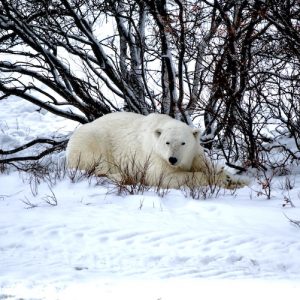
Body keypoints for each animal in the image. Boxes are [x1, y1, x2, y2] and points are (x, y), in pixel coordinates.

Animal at [67, 111, 247, 189]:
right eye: (167, 143)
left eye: (183, 143)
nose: (173, 159)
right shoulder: (154, 157)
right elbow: (164, 177)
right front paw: (219, 180)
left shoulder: (195, 153)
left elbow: (207, 165)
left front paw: (234, 179)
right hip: (92, 141)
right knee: (98, 165)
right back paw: (123, 176)